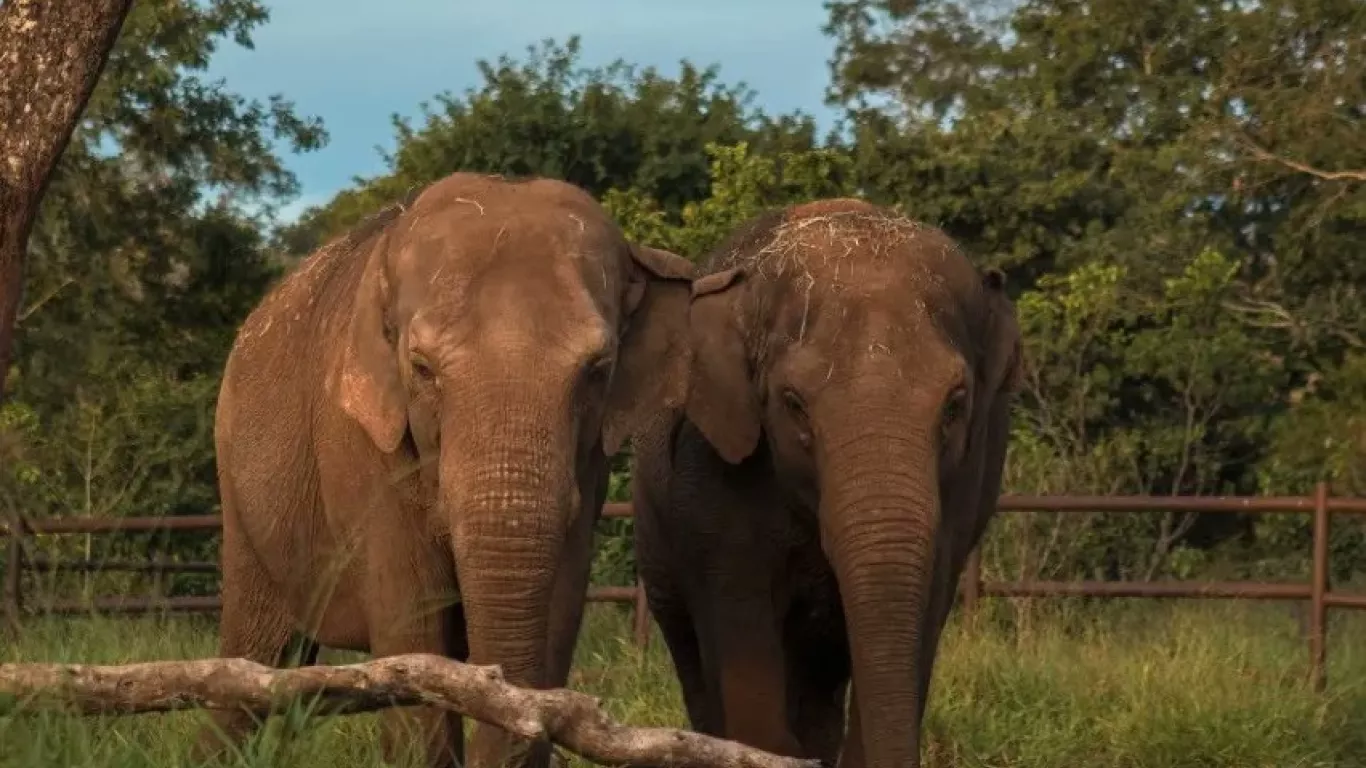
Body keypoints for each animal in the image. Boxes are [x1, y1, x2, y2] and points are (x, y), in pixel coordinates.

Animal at [198, 170, 699, 765]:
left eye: (598, 370)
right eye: (422, 369)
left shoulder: (590, 465)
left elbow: (557, 617)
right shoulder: (362, 450)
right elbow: (413, 635)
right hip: (241, 498)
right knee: (251, 665)